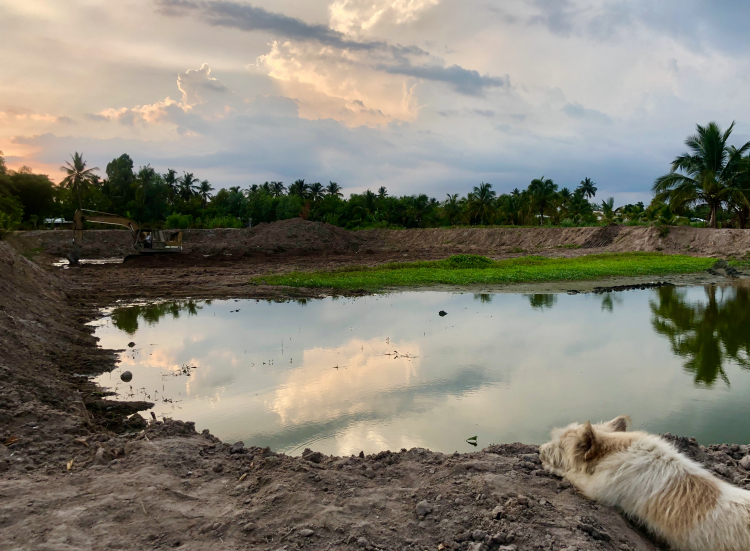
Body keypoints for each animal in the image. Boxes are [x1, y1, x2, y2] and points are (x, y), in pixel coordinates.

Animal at [540, 416, 750, 548]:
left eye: (560, 446)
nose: (540, 449)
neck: (614, 449)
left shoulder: (597, 489)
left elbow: (571, 475)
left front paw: (549, 466)